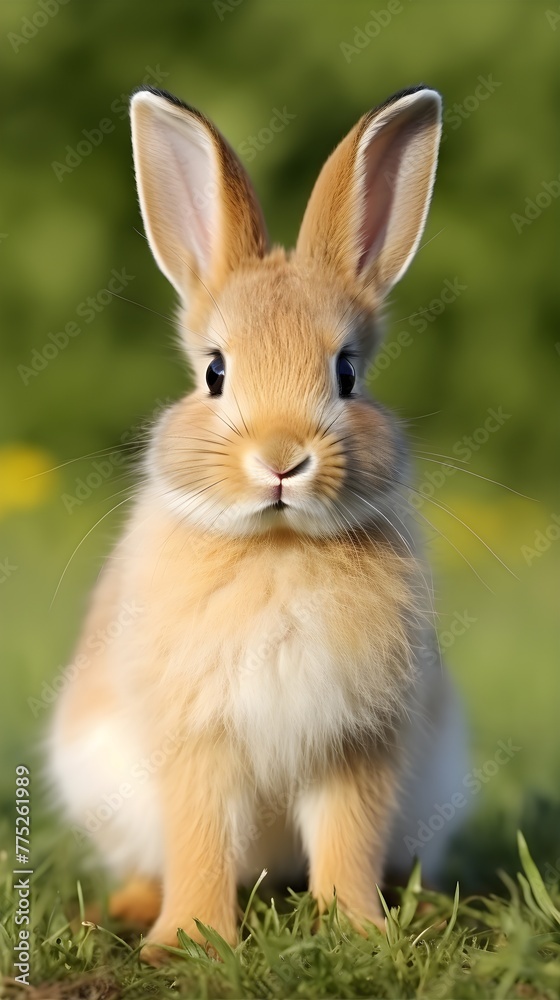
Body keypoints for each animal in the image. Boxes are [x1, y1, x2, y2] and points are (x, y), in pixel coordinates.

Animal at [49, 84, 469, 963]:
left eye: (348, 373)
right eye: (214, 372)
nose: (281, 460)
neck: (279, 548)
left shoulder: (355, 743)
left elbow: (346, 839)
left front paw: (359, 934)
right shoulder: (198, 743)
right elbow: (200, 841)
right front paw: (190, 942)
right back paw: (129, 909)